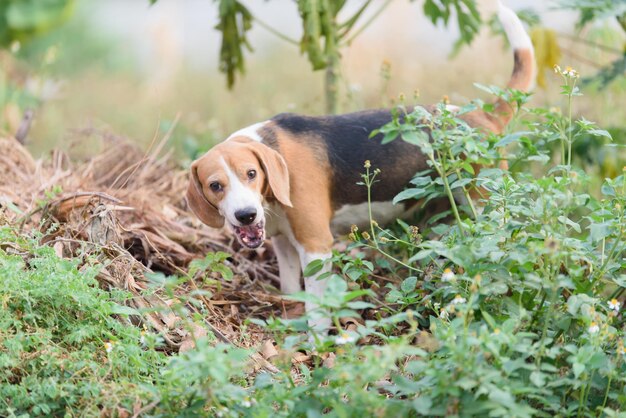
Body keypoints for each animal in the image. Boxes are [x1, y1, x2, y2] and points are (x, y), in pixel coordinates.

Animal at [185, 3, 532, 330]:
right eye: (215, 186)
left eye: (252, 174)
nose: (245, 215)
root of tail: (483, 115)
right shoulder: (284, 244)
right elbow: (290, 289)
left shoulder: (315, 247)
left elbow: (317, 310)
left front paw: (316, 343)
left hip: (485, 209)